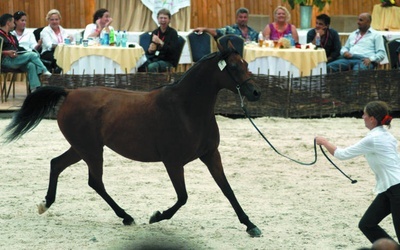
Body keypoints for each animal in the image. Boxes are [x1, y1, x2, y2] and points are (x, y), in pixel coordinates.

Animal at [4, 42, 264, 237]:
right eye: (233, 66)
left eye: (246, 64)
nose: (255, 93)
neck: (186, 109)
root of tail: (69, 93)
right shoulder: (173, 162)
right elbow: (183, 197)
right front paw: (156, 216)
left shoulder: (211, 155)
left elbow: (227, 190)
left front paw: (251, 225)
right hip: (91, 150)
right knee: (94, 182)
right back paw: (126, 216)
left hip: (81, 148)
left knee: (57, 164)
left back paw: (46, 204)